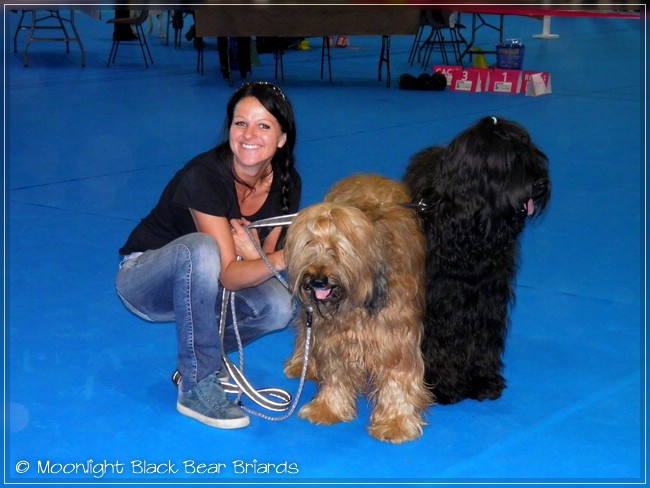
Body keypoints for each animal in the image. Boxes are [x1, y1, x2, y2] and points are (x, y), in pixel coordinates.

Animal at [280, 174, 428, 442]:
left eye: (339, 247)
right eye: (310, 243)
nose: (317, 280)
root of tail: (368, 175)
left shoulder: (396, 338)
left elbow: (397, 378)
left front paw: (395, 423)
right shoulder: (333, 337)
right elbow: (336, 373)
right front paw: (328, 408)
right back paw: (302, 363)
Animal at [402, 117, 548, 404]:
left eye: (530, 154)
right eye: (507, 163)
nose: (539, 184)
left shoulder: (487, 297)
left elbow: (481, 338)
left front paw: (483, 379)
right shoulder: (440, 300)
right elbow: (440, 340)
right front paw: (444, 385)